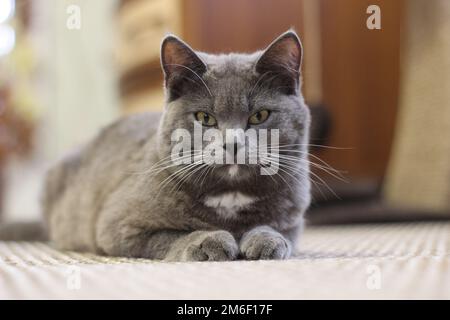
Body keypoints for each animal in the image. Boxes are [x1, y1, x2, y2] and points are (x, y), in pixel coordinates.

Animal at [1, 30, 312, 262]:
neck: (231, 195)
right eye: (205, 118)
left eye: (259, 116)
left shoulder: (294, 220)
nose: (232, 143)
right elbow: (168, 235)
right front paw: (209, 240)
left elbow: (282, 232)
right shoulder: (117, 225)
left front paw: (266, 240)